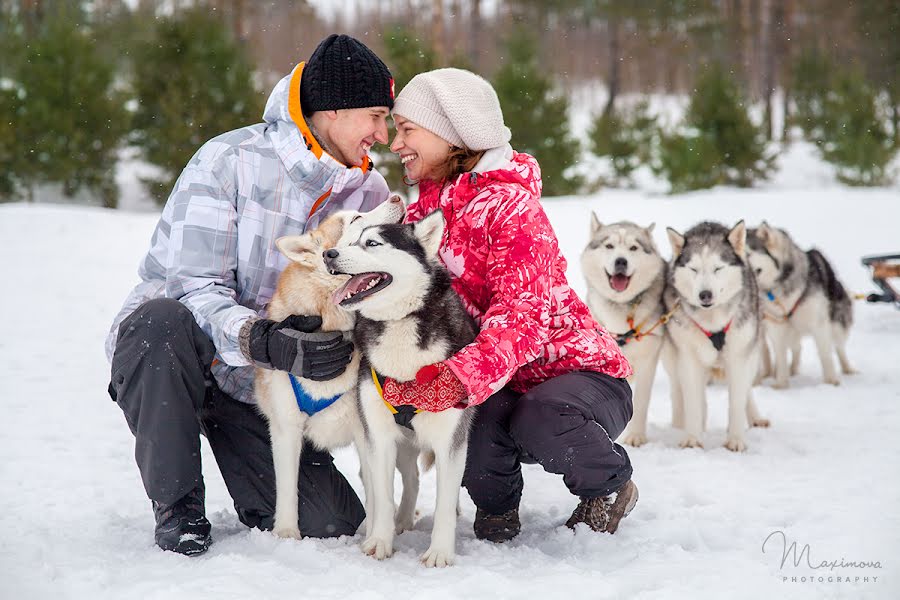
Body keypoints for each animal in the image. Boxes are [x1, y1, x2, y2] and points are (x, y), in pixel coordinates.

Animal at [255, 197, 424, 540]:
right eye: (355, 219)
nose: (397, 197)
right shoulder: (285, 429)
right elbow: (287, 488)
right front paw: (286, 534)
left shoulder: (366, 430)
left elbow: (375, 490)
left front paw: (373, 533)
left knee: (411, 476)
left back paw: (402, 521)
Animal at [324, 211, 478, 568]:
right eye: (349, 240)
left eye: (372, 243)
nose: (329, 255)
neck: (400, 321)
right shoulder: (379, 436)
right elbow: (382, 495)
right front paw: (380, 542)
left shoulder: (451, 437)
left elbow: (445, 501)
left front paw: (440, 553)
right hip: (404, 442)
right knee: (412, 479)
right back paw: (404, 520)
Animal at [584, 216, 668, 446]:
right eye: (609, 246)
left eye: (633, 248)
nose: (621, 261)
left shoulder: (648, 359)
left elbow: (640, 400)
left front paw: (636, 436)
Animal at [664, 220, 768, 450]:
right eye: (693, 269)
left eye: (718, 268)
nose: (705, 294)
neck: (712, 323)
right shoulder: (689, 360)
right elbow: (693, 402)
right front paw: (693, 438)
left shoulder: (738, 357)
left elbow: (737, 400)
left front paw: (736, 439)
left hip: (751, 354)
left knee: (746, 390)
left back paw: (755, 417)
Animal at [748, 221, 856, 390]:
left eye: (747, 254)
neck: (782, 283)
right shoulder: (778, 327)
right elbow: (781, 356)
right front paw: (781, 384)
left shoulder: (819, 324)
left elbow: (825, 355)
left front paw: (831, 381)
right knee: (791, 348)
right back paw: (784, 371)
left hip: (837, 324)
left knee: (839, 347)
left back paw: (847, 369)